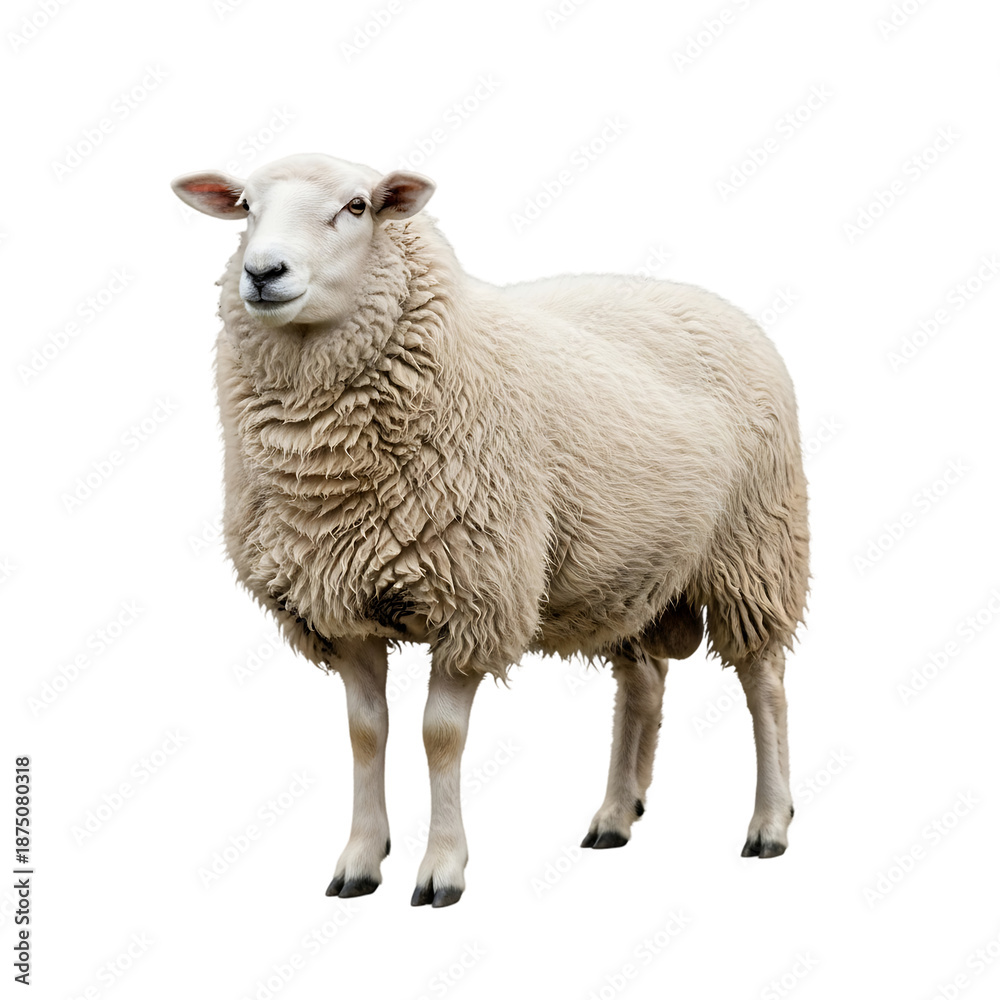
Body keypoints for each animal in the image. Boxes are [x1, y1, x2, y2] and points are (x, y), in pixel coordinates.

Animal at [171, 152, 809, 908]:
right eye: (244, 206)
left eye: (357, 207)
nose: (263, 272)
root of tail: (715, 303)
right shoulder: (341, 602)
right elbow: (366, 733)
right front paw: (359, 860)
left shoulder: (472, 594)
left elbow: (440, 736)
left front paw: (442, 868)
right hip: (627, 568)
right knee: (643, 682)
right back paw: (615, 815)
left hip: (755, 548)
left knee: (763, 682)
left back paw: (769, 823)